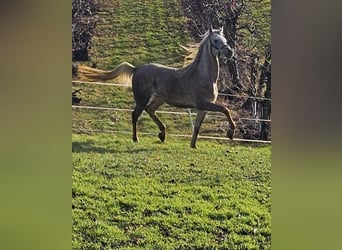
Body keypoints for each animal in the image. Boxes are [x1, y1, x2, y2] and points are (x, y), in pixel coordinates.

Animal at [76, 26, 236, 148]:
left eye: (225, 40)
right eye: (216, 40)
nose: (230, 51)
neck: (203, 75)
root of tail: (136, 69)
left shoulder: (203, 107)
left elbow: (197, 127)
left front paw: (193, 145)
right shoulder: (203, 103)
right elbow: (226, 109)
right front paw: (230, 133)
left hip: (158, 99)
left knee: (150, 110)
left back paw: (162, 134)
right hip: (141, 99)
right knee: (135, 114)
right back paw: (136, 138)